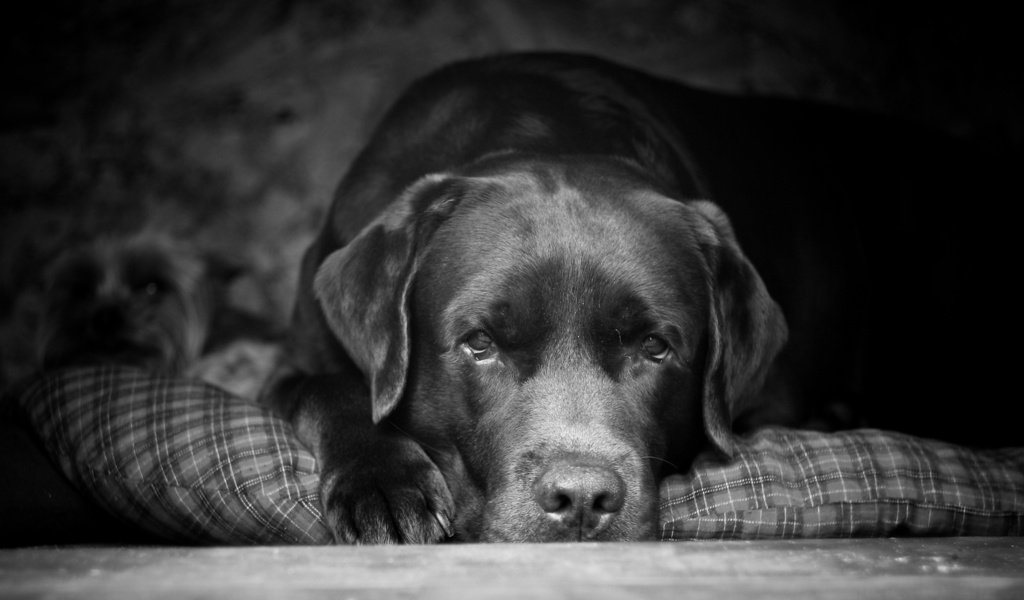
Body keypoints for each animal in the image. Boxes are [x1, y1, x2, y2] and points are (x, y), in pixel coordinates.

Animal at [268, 52, 1019, 540]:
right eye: (480, 344)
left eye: (655, 347)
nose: (581, 499)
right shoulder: (298, 351)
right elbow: (331, 389)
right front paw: (383, 488)